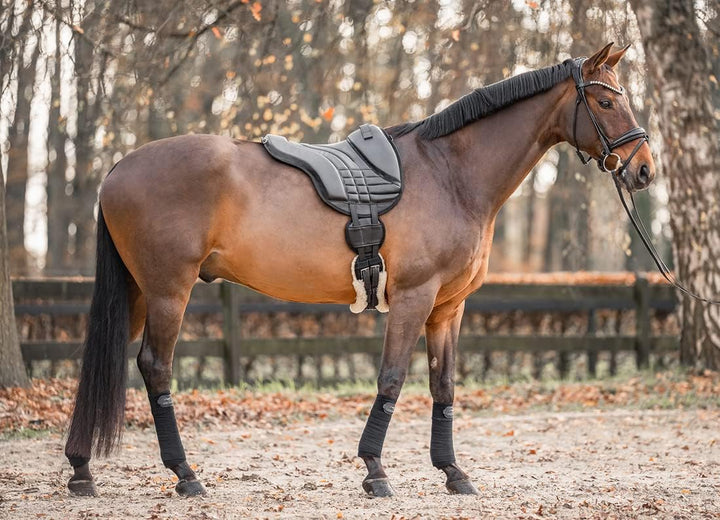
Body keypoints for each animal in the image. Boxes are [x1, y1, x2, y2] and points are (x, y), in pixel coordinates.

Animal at [64, 43, 655, 497]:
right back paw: (185, 475)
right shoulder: (415, 298)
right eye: (606, 101)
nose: (644, 170)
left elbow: (443, 386)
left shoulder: (448, 308)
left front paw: (453, 473)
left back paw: (81, 469)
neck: (451, 173)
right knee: (155, 367)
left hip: (139, 293)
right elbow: (392, 379)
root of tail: (117, 168)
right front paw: (375, 471)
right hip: (168, 292)